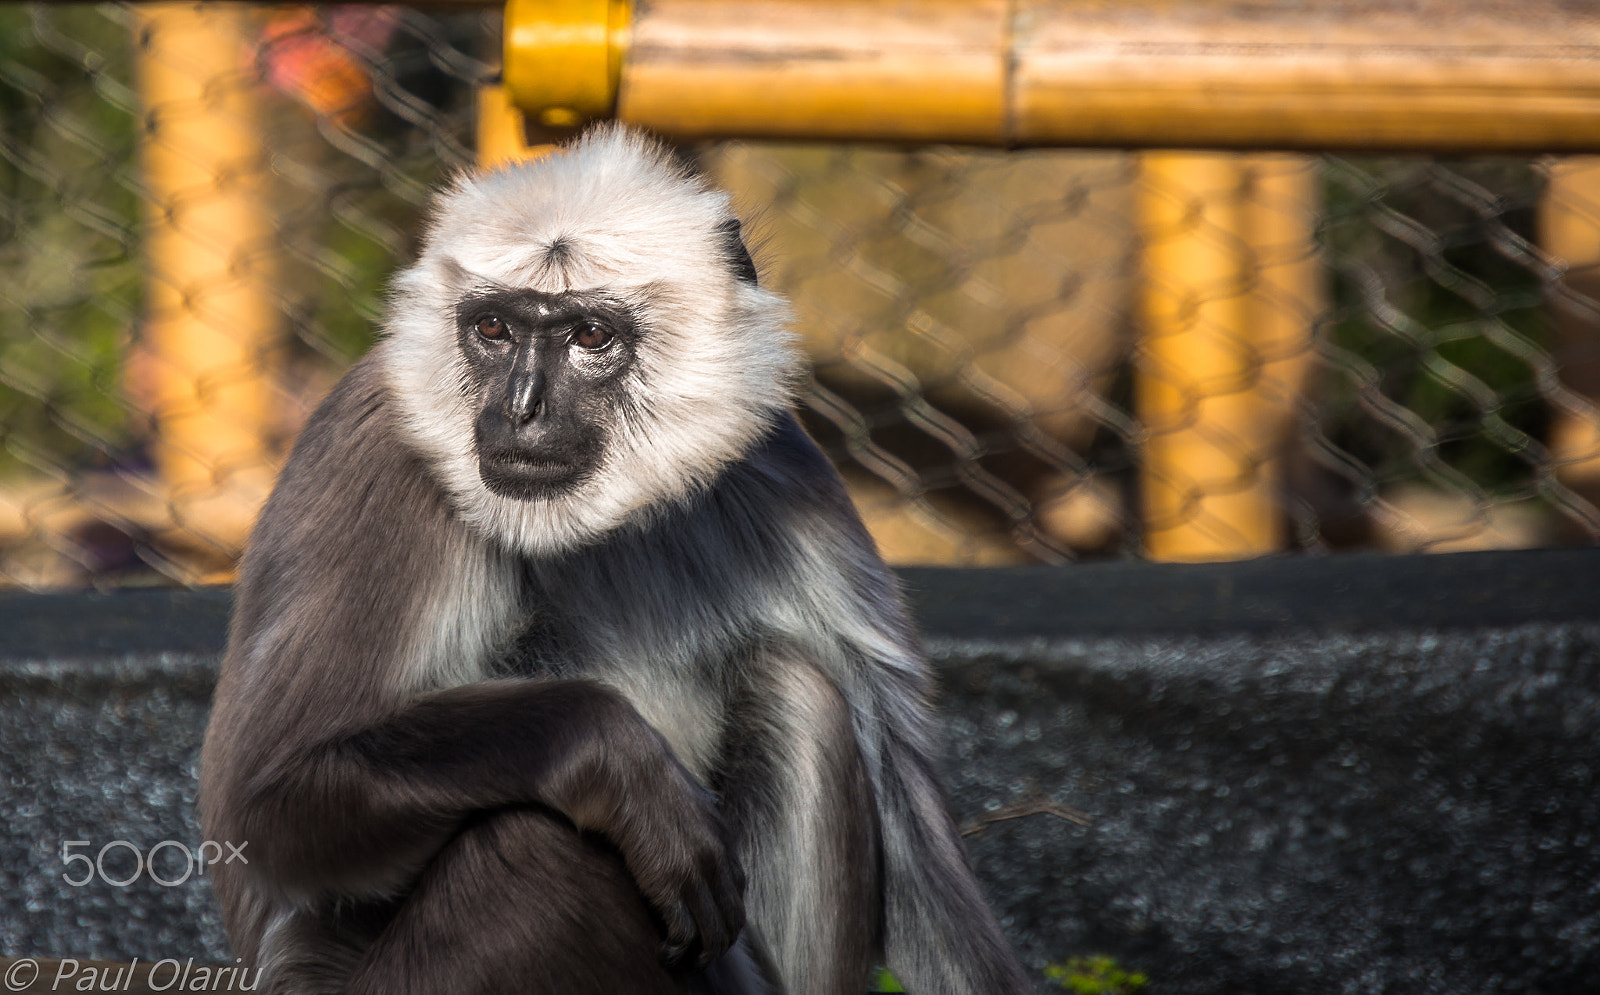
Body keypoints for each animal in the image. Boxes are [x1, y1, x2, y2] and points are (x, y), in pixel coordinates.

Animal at [199, 125, 1032, 995]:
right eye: (493, 330)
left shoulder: (784, 465)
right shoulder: (386, 456)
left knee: (799, 689)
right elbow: (264, 803)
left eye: (590, 337)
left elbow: (914, 824)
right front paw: (611, 759)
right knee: (544, 842)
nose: (520, 410)